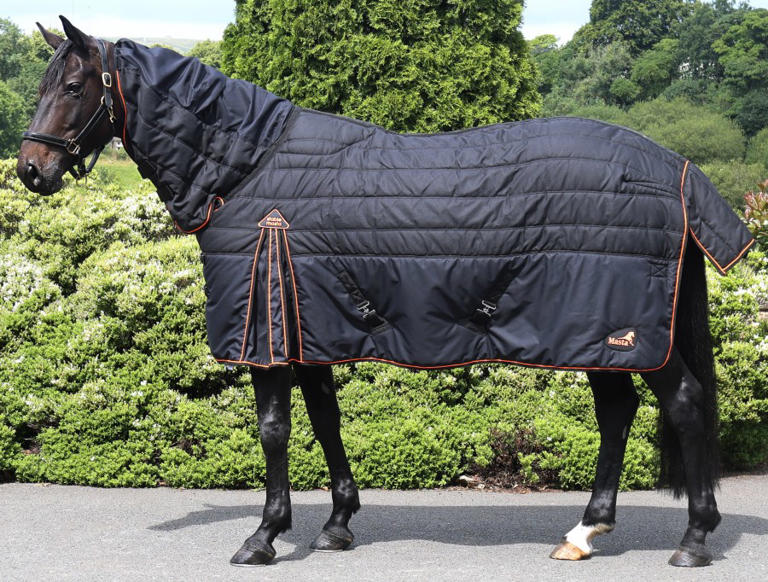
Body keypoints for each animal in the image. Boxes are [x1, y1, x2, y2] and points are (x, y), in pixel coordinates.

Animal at [17, 17, 755, 569]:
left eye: (75, 84)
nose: (31, 169)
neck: (247, 167)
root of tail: (676, 169)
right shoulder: (309, 321)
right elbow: (324, 419)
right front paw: (337, 523)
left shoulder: (267, 331)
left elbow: (274, 429)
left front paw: (264, 535)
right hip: (600, 334)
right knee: (618, 413)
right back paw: (583, 533)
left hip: (622, 329)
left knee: (684, 404)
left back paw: (692, 539)